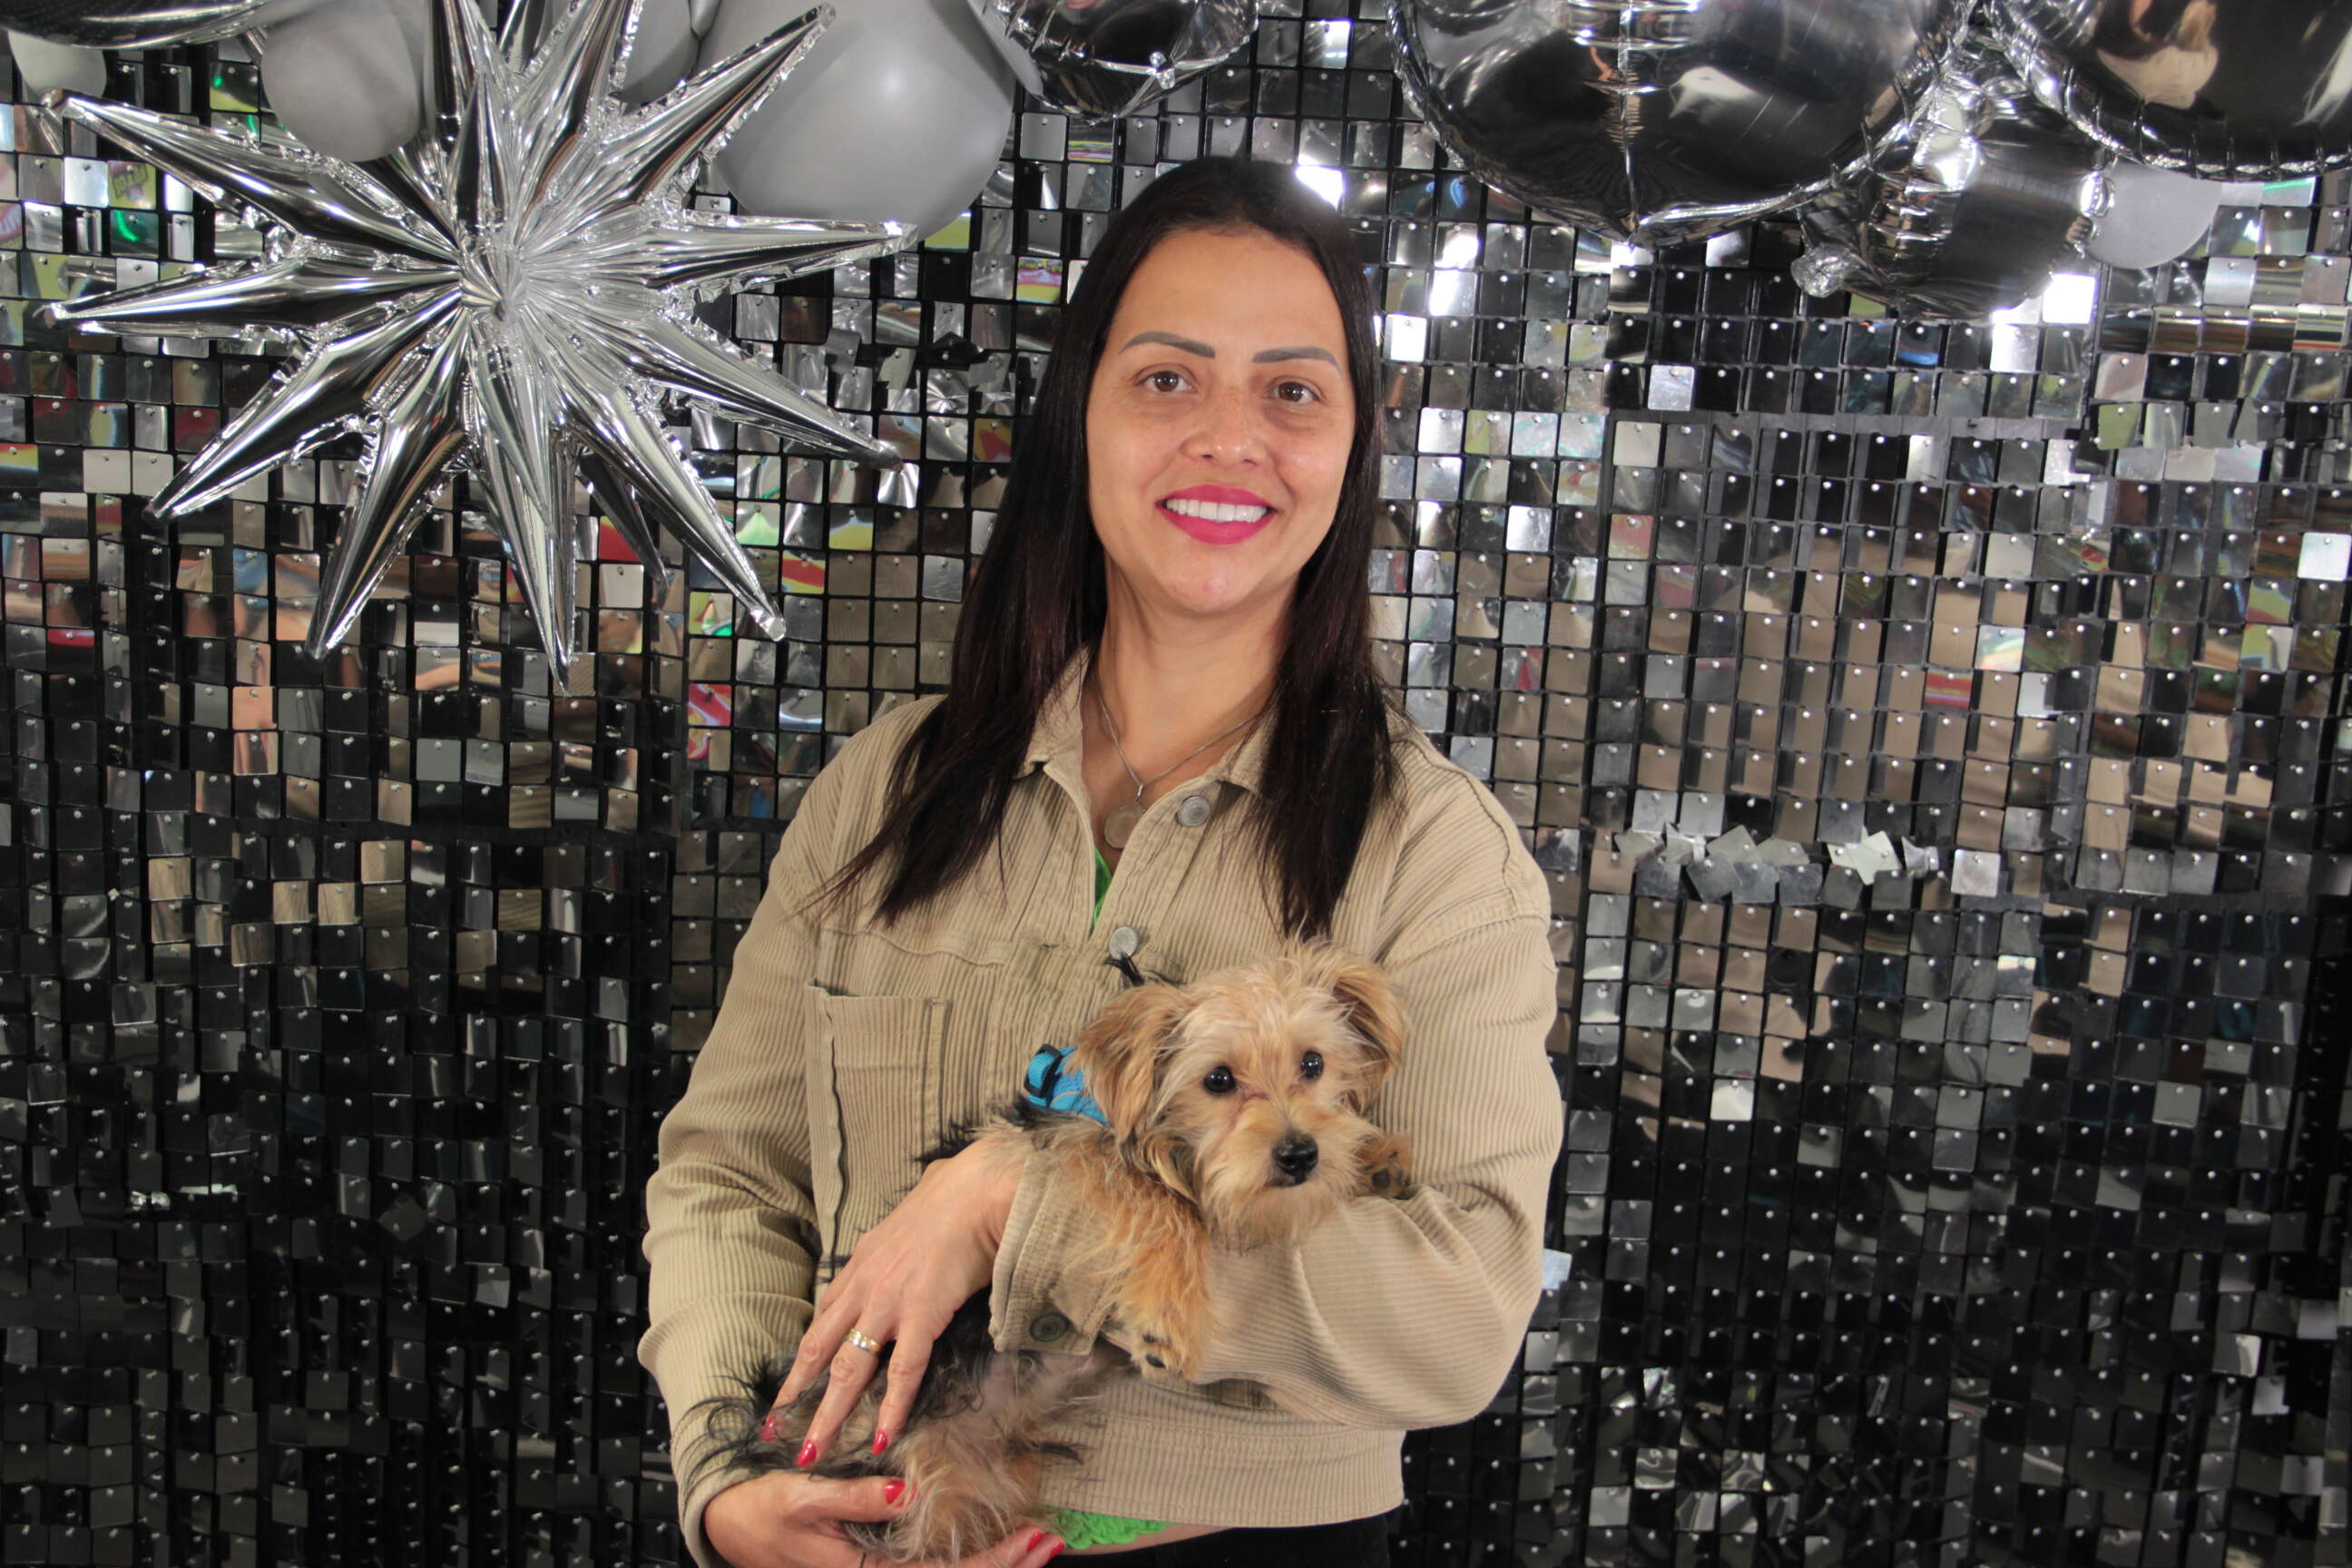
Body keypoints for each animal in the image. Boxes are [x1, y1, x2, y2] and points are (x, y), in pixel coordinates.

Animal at [687, 938, 1419, 1564]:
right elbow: (1163, 1200)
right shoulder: (1068, 1155)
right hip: (907, 1473)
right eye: (1217, 1080)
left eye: (1313, 1064)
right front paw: (1166, 1317)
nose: (1300, 1154)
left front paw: (1374, 1159)